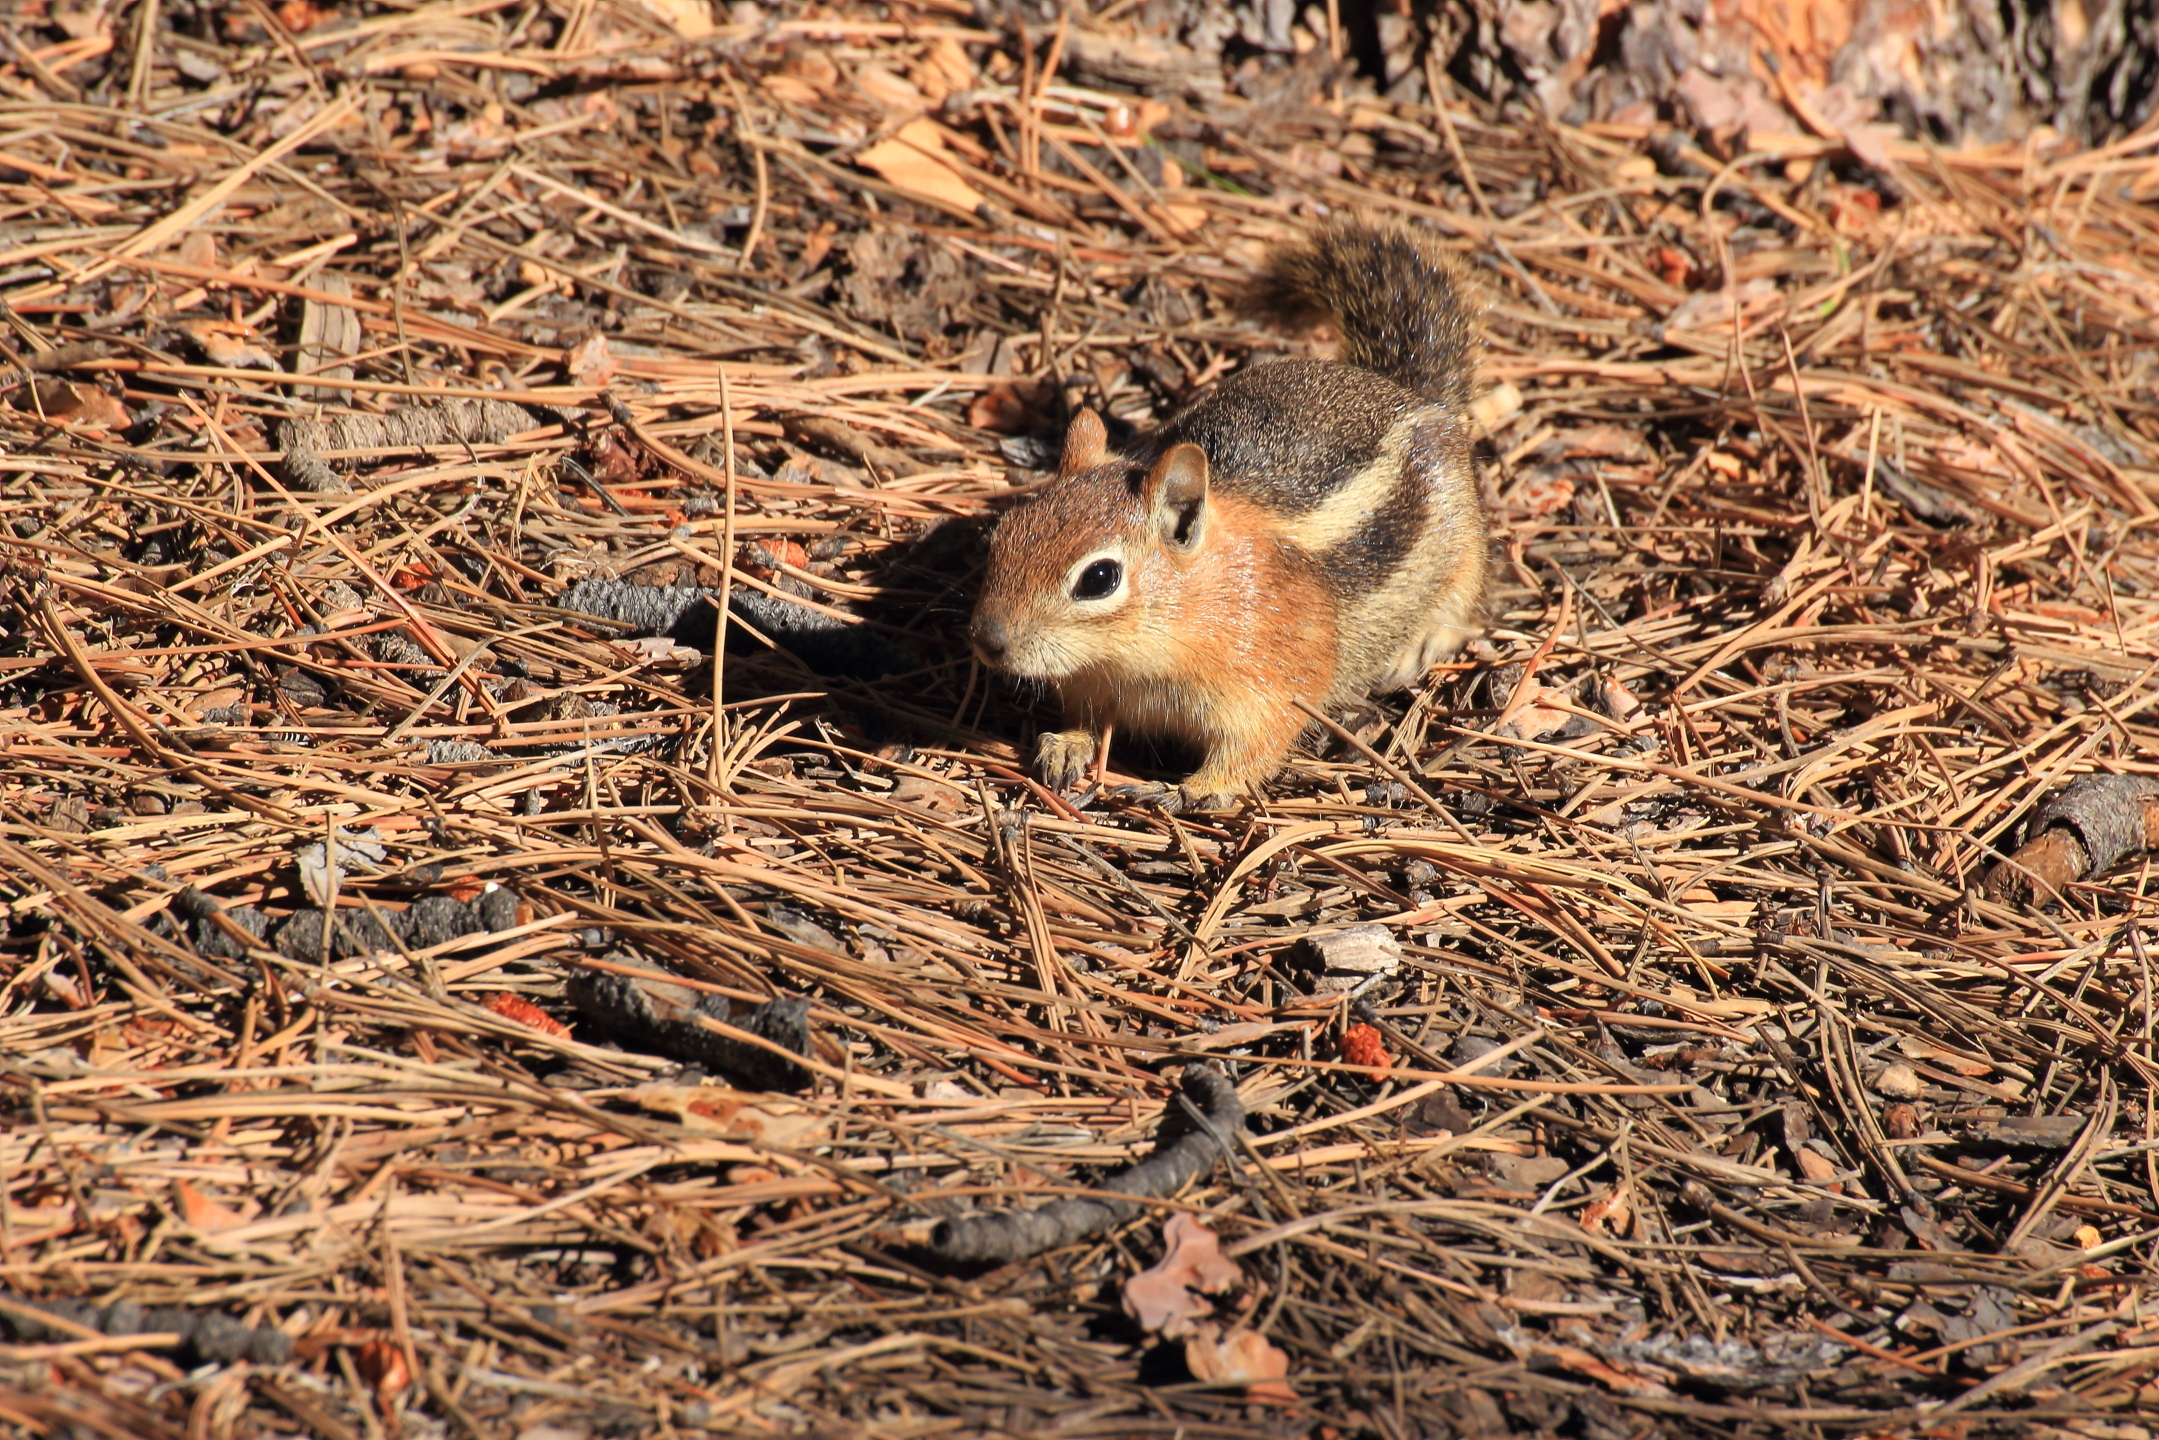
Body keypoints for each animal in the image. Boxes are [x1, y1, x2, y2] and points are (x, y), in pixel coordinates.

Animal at [969, 218, 1489, 811]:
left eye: (1099, 578)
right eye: (1003, 535)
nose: (986, 640)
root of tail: (1409, 390)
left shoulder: (1271, 682)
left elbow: (1255, 747)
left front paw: (1194, 791)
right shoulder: (1090, 680)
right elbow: (1087, 717)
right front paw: (1067, 744)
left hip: (1464, 543)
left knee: (1461, 610)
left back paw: (1416, 649)